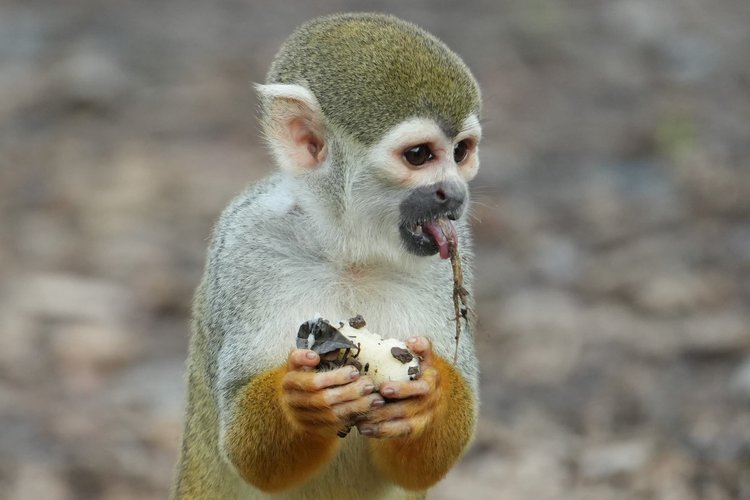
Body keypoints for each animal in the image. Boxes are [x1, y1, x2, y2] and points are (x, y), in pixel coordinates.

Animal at [172, 13, 482, 500]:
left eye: (461, 152)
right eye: (419, 155)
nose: (454, 193)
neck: (347, 249)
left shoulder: (457, 248)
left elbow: (420, 468)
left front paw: (430, 399)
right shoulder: (245, 245)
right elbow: (244, 449)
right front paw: (302, 404)